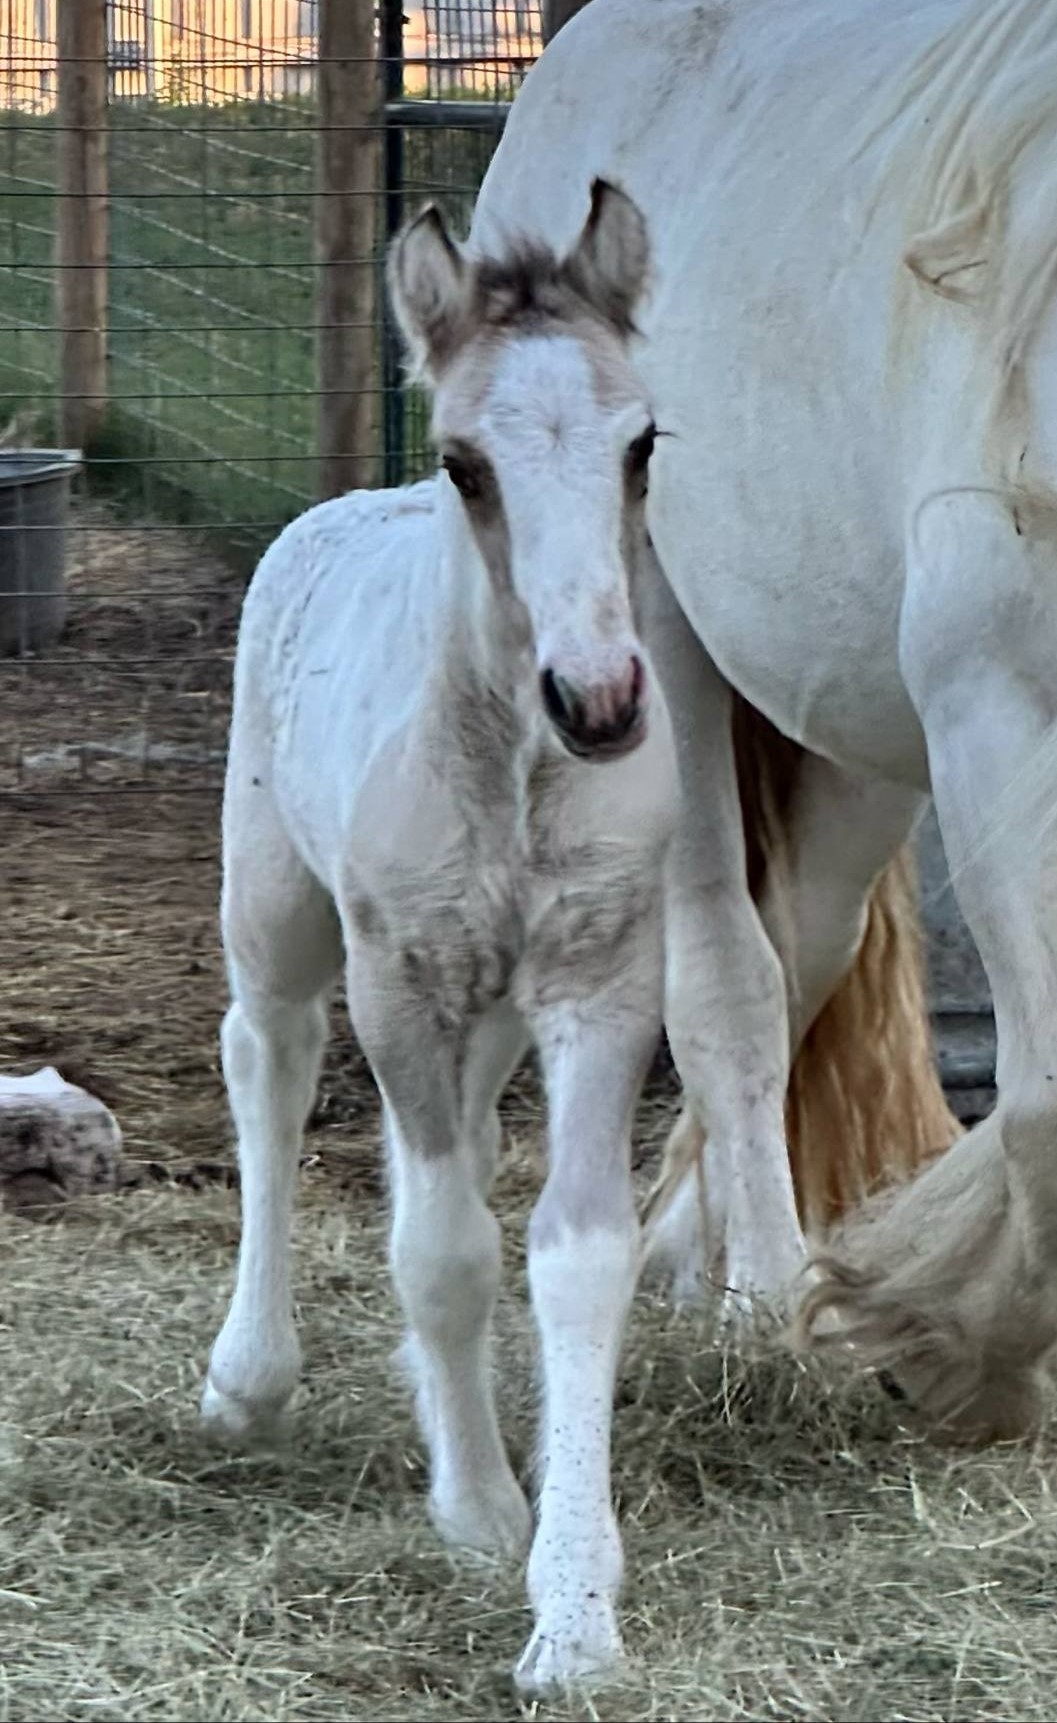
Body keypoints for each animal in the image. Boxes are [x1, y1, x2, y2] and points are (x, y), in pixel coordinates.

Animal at [470, 0, 1057, 1441]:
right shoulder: (1000, 713)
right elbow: (1040, 1111)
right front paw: (956, 1352)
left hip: (853, 744)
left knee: (799, 950)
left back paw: (708, 1261)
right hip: (655, 672)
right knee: (726, 977)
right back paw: (765, 1307)